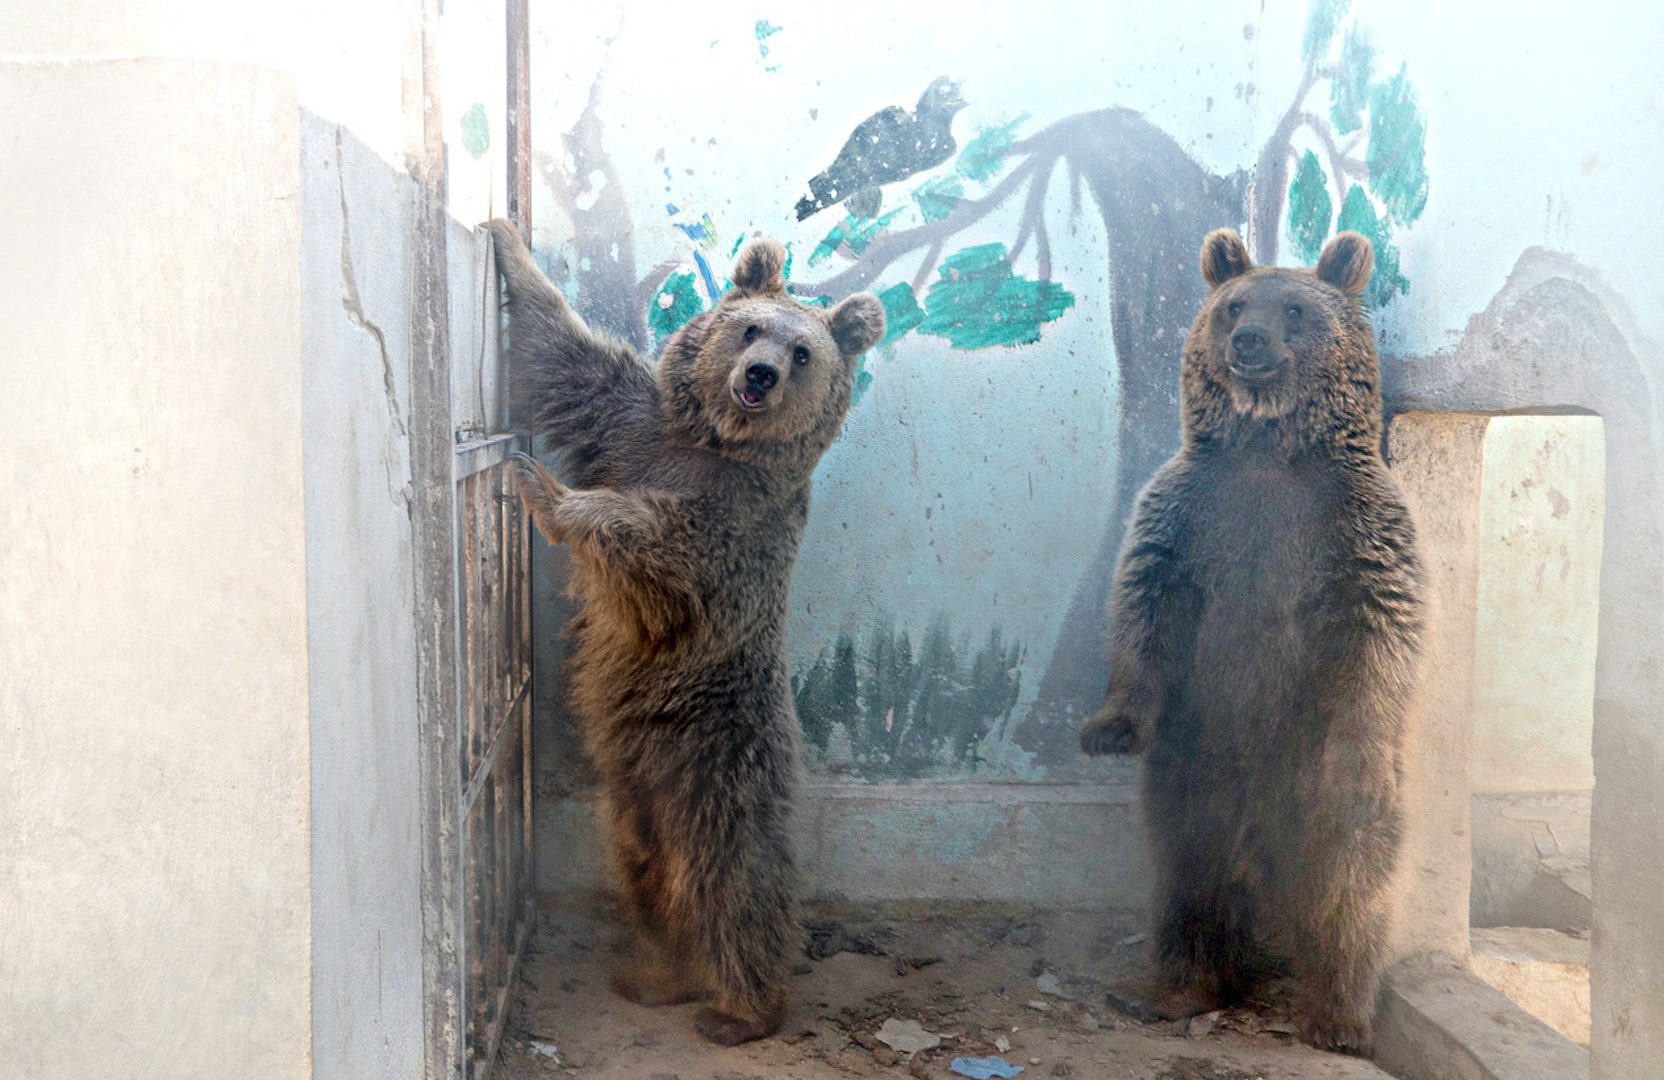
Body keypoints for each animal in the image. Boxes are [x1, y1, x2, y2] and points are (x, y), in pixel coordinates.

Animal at [485, 214, 891, 1038]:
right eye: (751, 327)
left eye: (804, 351)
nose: (761, 374)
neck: (712, 446)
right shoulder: (632, 424)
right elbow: (565, 357)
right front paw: (509, 242)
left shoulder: (731, 526)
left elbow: (648, 538)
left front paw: (543, 489)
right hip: (635, 787)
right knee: (648, 869)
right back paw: (658, 974)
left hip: (721, 758)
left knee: (733, 879)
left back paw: (742, 1007)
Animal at [1078, 229, 1431, 1051]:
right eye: (1235, 304)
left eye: (1295, 307)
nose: (1249, 340)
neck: (1270, 453)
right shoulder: (1188, 518)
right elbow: (1142, 609)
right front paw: (1109, 726)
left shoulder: (1358, 532)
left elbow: (1381, 633)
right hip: (1194, 769)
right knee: (1189, 881)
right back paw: (1173, 988)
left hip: (1309, 782)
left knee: (1349, 889)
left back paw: (1338, 1014)